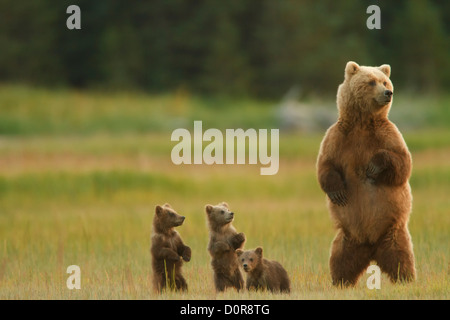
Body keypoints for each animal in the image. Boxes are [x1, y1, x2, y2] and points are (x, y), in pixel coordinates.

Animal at [316, 61, 414, 286]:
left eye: (385, 81)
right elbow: (325, 165)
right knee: (340, 259)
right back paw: (340, 282)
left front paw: (372, 168)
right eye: (371, 82)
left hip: (393, 232)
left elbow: (403, 163)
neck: (361, 122)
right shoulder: (337, 137)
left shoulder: (388, 135)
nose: (388, 92)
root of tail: (371, 247)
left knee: (402, 258)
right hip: (348, 237)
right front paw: (338, 193)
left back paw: (406, 279)